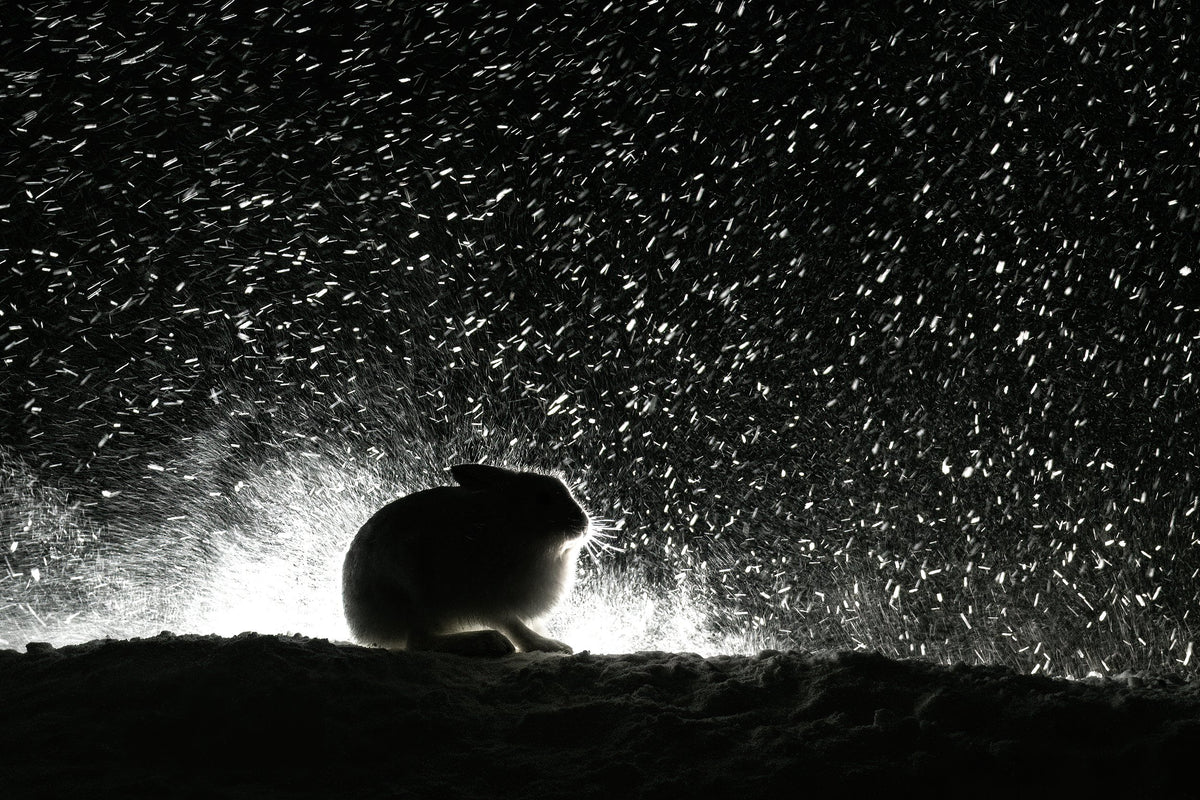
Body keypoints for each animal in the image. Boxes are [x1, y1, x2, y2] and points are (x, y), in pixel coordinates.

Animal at [342, 463, 592, 656]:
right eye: (543, 498)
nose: (584, 521)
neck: (512, 524)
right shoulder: (491, 601)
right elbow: (514, 626)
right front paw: (552, 646)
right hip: (418, 597)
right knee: (419, 641)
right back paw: (486, 642)